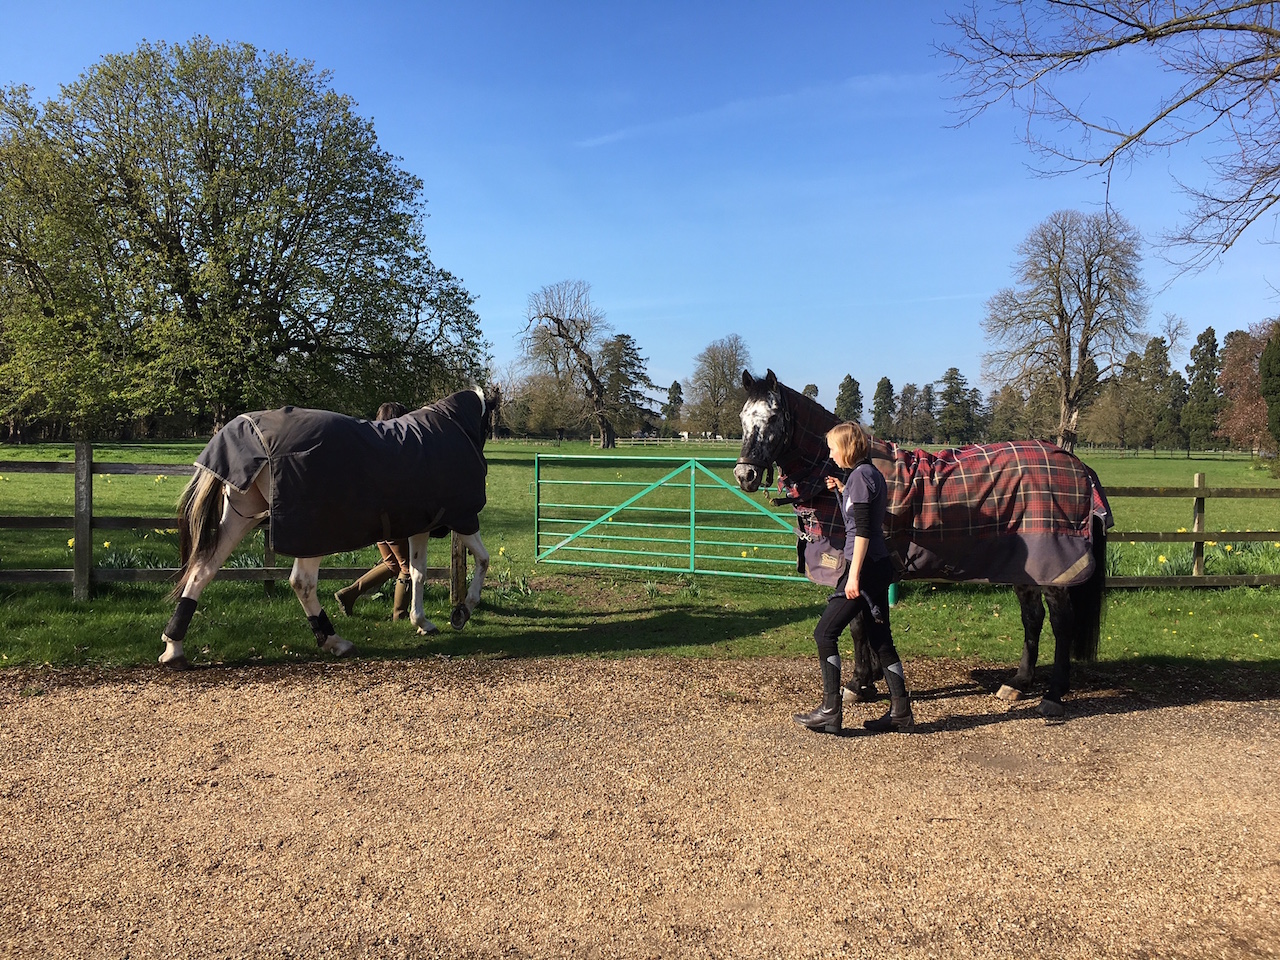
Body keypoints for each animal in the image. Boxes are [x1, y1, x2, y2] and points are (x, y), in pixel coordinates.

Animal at [162, 386, 491, 665]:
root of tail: (250, 434)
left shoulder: (420, 526)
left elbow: (418, 573)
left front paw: (421, 621)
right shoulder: (463, 517)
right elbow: (483, 560)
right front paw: (463, 611)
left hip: (240, 515)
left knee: (203, 569)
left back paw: (173, 648)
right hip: (311, 534)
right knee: (302, 583)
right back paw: (335, 642)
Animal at [737, 371, 1116, 716]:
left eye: (773, 416)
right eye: (742, 417)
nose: (745, 475)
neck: (842, 472)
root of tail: (1077, 464)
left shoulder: (852, 569)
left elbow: (858, 626)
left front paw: (858, 683)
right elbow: (869, 624)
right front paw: (871, 679)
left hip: (1054, 571)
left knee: (1061, 623)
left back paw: (1053, 694)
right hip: (1025, 569)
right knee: (1032, 618)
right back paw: (1019, 683)